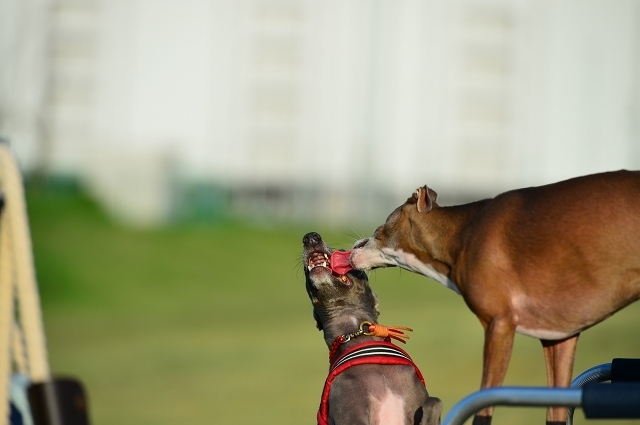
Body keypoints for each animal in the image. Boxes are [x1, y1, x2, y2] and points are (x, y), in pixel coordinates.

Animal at [332, 170, 640, 424]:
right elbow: (555, 412)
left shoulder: (500, 325)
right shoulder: (559, 340)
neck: (462, 232)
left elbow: (484, 408)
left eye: (382, 227)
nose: (351, 248)